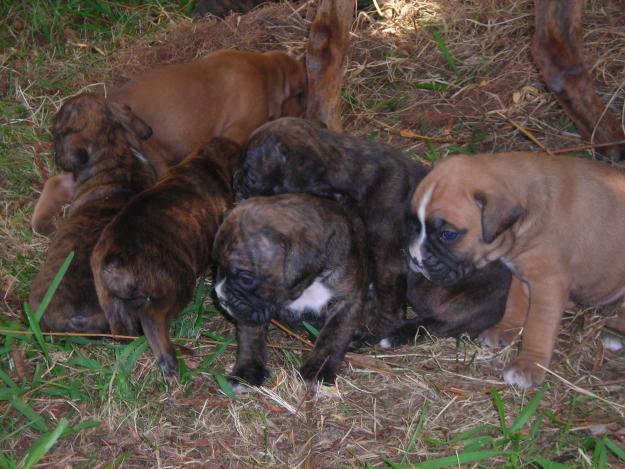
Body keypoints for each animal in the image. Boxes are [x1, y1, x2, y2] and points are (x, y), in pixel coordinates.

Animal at [91, 137, 240, 374]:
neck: (206, 161)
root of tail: (112, 262)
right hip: (176, 285)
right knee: (153, 321)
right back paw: (175, 357)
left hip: (111, 303)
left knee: (126, 333)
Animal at [212, 192, 368, 386]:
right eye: (217, 266)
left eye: (246, 279)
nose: (220, 297)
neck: (308, 284)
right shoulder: (252, 310)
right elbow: (251, 337)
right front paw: (247, 371)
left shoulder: (348, 302)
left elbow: (333, 336)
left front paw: (319, 369)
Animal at [236, 117, 510, 344]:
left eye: (250, 175)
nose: (236, 182)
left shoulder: (388, 261)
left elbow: (388, 303)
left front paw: (374, 331)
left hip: (463, 304)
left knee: (438, 323)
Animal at [404, 152, 624, 386]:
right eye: (415, 225)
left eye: (448, 234)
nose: (415, 258)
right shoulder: (521, 274)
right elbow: (514, 304)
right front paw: (503, 330)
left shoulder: (547, 285)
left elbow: (538, 327)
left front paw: (528, 365)